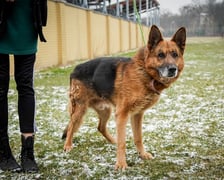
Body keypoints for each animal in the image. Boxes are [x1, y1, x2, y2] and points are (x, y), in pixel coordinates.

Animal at [62, 25, 186, 170]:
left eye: (175, 55)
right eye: (160, 55)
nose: (172, 69)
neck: (144, 72)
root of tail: (75, 69)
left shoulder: (137, 115)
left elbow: (138, 137)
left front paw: (142, 155)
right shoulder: (122, 114)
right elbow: (122, 143)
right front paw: (121, 164)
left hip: (106, 110)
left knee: (100, 127)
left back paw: (112, 140)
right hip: (80, 109)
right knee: (71, 126)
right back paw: (68, 145)